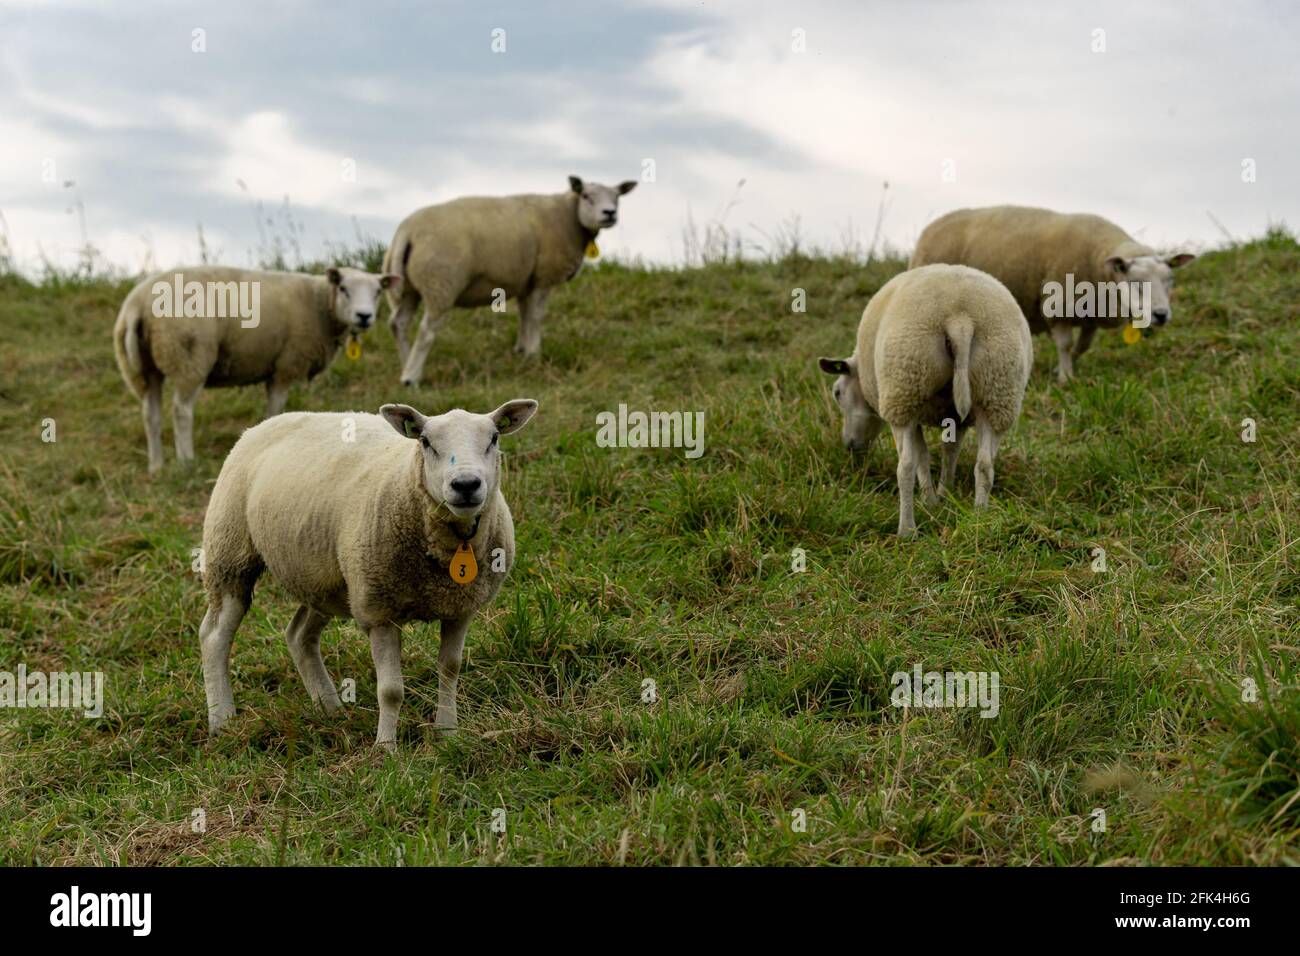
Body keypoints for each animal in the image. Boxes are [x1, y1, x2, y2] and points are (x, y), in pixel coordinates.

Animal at [113, 265, 399, 473]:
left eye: (377, 291)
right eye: (343, 288)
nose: (364, 316)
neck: (320, 303)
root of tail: (137, 305)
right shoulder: (286, 365)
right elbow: (275, 410)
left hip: (143, 368)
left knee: (150, 414)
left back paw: (156, 466)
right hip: (189, 357)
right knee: (181, 411)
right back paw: (187, 462)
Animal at [198, 398, 538, 749]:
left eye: (494, 438)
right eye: (425, 442)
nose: (466, 484)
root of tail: (263, 425)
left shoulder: (459, 608)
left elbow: (450, 669)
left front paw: (448, 733)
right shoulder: (379, 612)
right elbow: (390, 691)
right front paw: (386, 749)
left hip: (328, 580)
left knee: (299, 635)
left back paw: (329, 708)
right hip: (230, 552)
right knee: (214, 635)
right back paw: (222, 719)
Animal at [383, 175, 637, 386]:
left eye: (617, 197)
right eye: (586, 196)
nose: (609, 213)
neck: (568, 216)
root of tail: (407, 231)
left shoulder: (527, 280)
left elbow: (524, 315)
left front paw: (521, 350)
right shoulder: (543, 277)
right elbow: (536, 316)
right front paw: (534, 353)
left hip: (409, 288)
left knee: (399, 324)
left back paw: (405, 363)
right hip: (441, 284)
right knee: (426, 331)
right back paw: (411, 377)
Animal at [818, 264, 1032, 537]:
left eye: (837, 393)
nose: (850, 445)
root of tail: (960, 318)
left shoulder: (913, 413)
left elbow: (921, 457)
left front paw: (930, 501)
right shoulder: (956, 418)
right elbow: (950, 452)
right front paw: (944, 496)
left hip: (905, 387)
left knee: (905, 467)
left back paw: (907, 530)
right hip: (998, 389)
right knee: (984, 465)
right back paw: (979, 520)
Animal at [909, 205, 1195, 384]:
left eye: (1170, 281)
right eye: (1136, 283)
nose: (1161, 315)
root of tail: (929, 229)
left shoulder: (1090, 313)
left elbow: (1082, 346)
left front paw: (1063, 368)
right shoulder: (1060, 304)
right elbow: (1066, 345)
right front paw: (1065, 378)